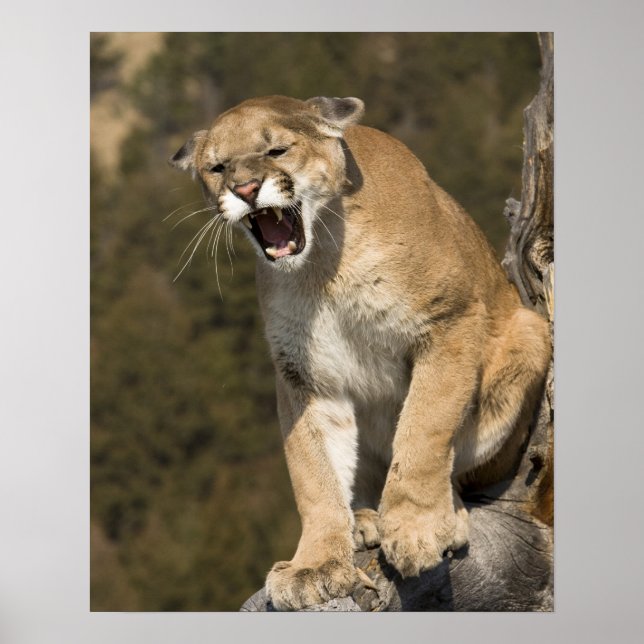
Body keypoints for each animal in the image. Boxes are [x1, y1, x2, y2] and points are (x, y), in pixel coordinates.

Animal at [170, 95, 551, 610]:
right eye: (217, 167)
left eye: (276, 150)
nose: (245, 188)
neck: (322, 264)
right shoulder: (303, 375)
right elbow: (312, 471)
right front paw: (314, 565)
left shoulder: (449, 322)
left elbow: (425, 428)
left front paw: (415, 528)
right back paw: (364, 520)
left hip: (528, 333)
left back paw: (438, 516)